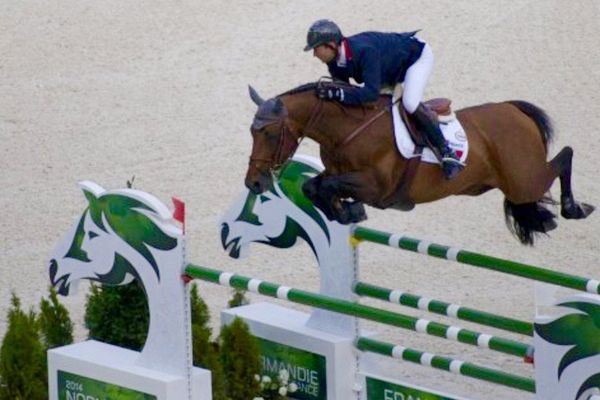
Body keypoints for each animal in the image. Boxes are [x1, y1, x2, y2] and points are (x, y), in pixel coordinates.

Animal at [243, 81, 592, 245]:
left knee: (564, 156)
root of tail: (514, 110)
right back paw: (546, 219)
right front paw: (347, 212)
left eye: (269, 133)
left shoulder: (376, 186)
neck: (347, 130)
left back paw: (574, 208)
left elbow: (325, 186)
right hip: (509, 185)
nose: (254, 183)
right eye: (251, 131)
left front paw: (347, 211)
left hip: (524, 180)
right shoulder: (338, 173)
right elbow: (313, 186)